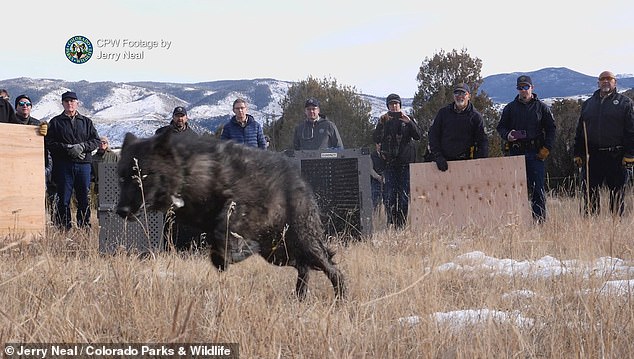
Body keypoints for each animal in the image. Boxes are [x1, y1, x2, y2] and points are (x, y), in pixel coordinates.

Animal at [113, 132, 346, 300]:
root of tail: (303, 185)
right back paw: (300, 297)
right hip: (278, 253)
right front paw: (235, 252)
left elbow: (223, 234)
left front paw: (235, 254)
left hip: (303, 243)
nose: (121, 211)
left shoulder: (242, 209)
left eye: (142, 175)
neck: (190, 171)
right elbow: (220, 242)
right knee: (304, 268)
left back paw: (340, 298)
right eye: (122, 178)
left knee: (332, 270)